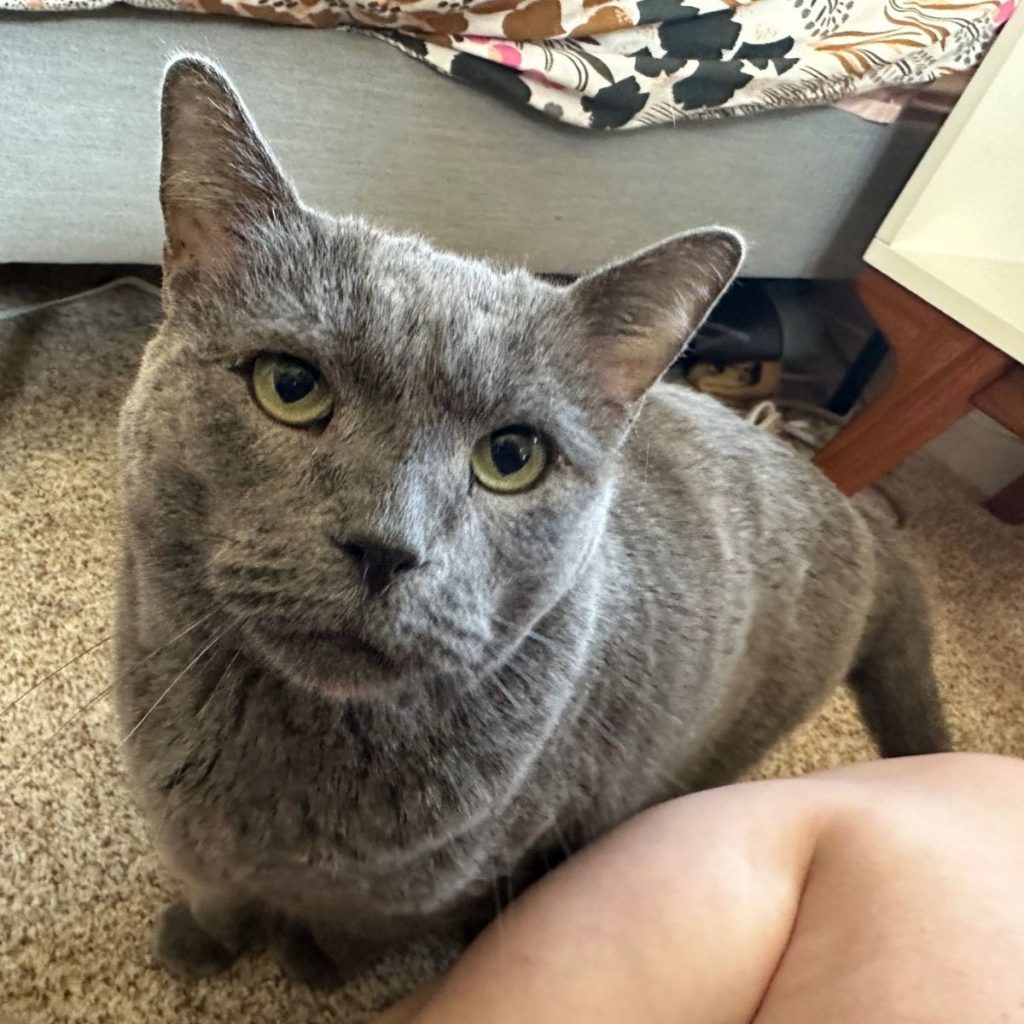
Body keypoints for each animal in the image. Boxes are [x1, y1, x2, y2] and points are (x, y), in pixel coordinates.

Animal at [114, 58, 950, 991]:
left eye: (511, 456)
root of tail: (851, 510)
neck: (275, 758)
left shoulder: (432, 883)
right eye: (289, 386)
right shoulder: (178, 816)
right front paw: (200, 939)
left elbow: (355, 926)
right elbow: (210, 885)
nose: (386, 546)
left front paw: (310, 963)